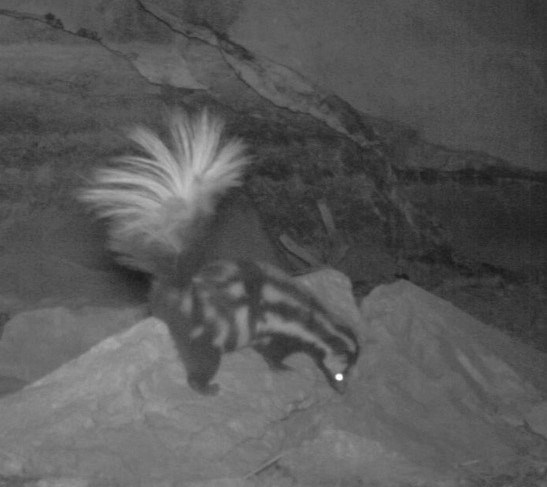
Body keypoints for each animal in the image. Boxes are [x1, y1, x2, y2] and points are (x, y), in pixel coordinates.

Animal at [80, 110, 360, 396]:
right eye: (339, 374)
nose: (342, 389)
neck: (315, 322)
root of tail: (179, 284)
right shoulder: (276, 331)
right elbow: (271, 351)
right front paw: (282, 367)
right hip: (203, 333)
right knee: (202, 361)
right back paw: (207, 388)